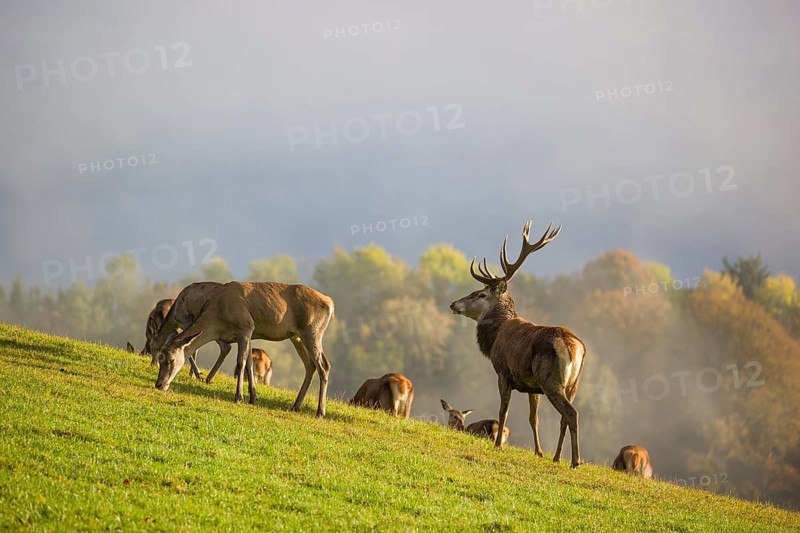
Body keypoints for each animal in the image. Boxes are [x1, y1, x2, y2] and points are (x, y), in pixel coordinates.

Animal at [154, 281, 334, 417]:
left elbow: (241, 363)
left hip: (312, 332)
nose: (159, 384)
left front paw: (239, 397)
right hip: (296, 336)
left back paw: (320, 412)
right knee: (310, 365)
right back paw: (295, 406)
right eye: (160, 359)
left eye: (170, 360)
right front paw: (253, 397)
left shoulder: (245, 327)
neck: (218, 318)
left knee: (324, 365)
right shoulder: (249, 333)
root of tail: (330, 303)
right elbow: (249, 363)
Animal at [450, 220, 586, 467]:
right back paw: (556, 457)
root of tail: (576, 348)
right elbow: (533, 418)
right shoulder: (532, 386)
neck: (495, 335)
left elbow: (503, 410)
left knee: (571, 413)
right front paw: (539, 452)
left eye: (481, 294)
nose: (454, 304)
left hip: (551, 379)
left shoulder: (504, 372)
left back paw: (575, 461)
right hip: (572, 384)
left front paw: (498, 445)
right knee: (564, 417)